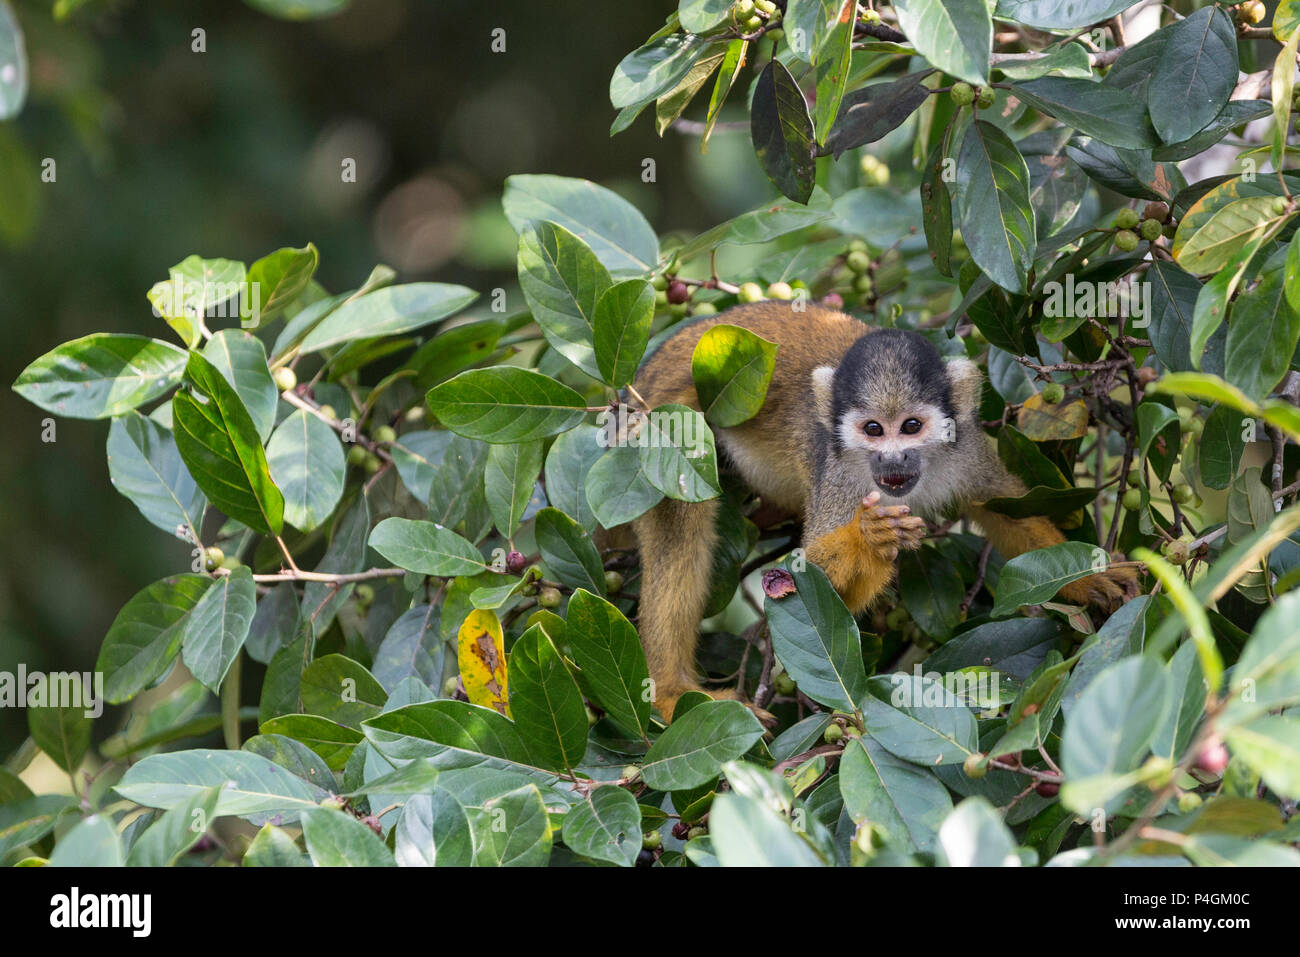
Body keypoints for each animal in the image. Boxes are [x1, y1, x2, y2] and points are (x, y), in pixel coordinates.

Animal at [634, 302, 1133, 722]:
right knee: (678, 523)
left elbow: (1004, 509)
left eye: (910, 426)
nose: (893, 460)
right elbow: (803, 587)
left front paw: (1088, 577)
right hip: (664, 417)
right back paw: (672, 693)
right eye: (873, 430)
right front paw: (869, 538)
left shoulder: (968, 448)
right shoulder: (836, 473)